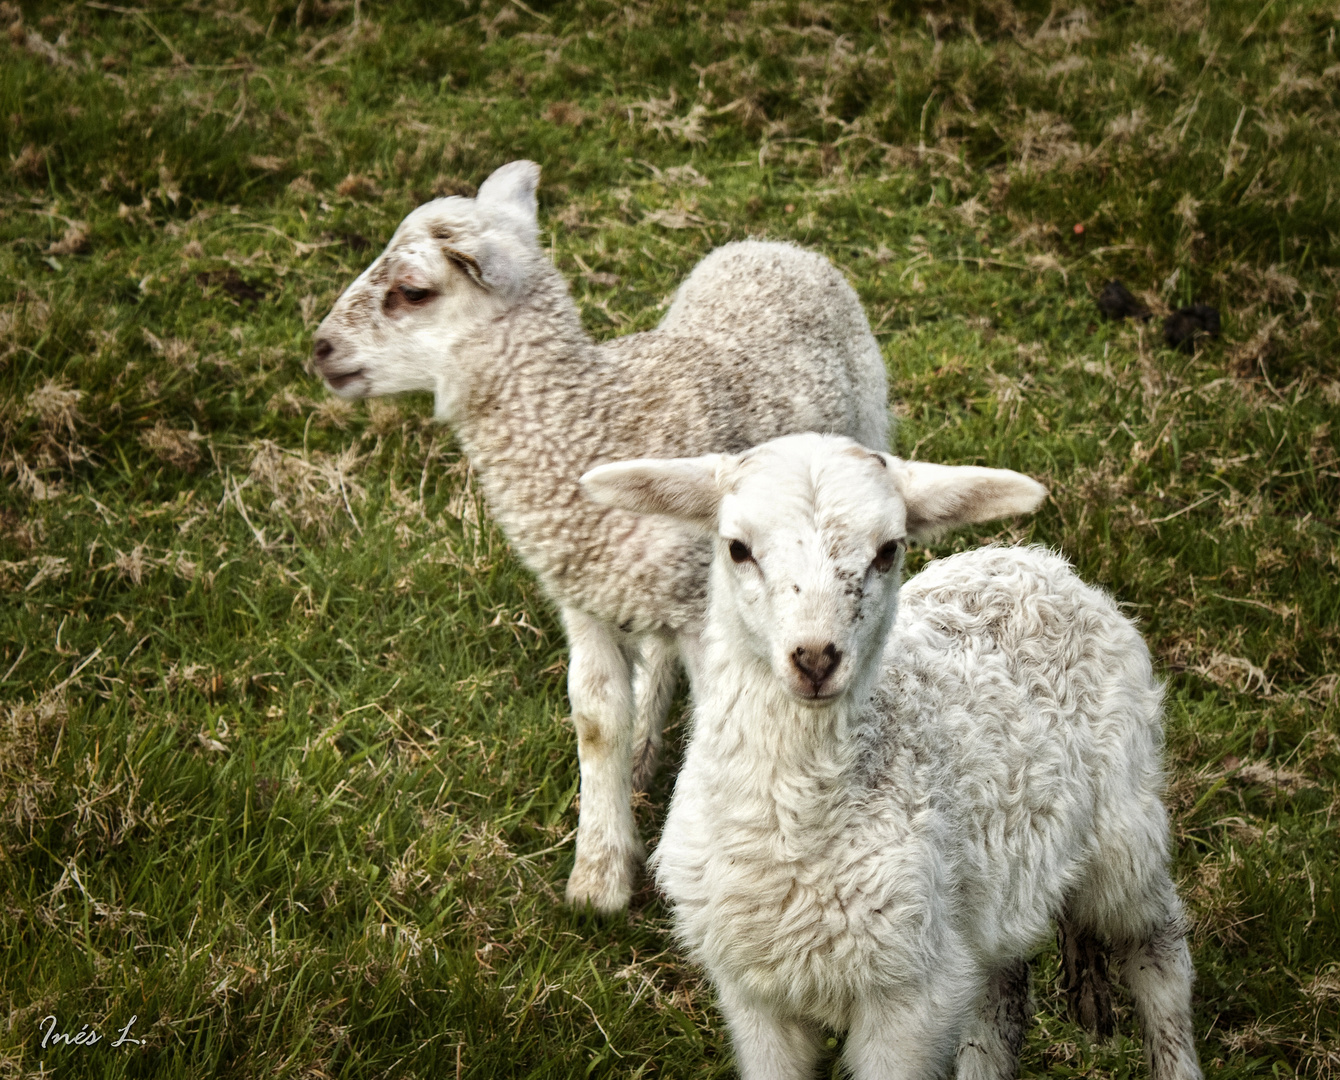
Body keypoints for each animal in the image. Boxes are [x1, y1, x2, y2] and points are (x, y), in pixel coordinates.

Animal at [312, 160, 889, 916]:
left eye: (412, 292)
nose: (319, 348)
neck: (590, 423)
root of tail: (778, 246)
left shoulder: (699, 610)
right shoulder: (584, 598)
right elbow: (595, 719)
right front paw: (600, 874)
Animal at [586, 434, 1206, 1080]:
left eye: (888, 550)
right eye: (737, 548)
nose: (815, 657)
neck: (795, 836)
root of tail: (1043, 563)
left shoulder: (909, 1000)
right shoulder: (754, 993)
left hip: (1123, 824)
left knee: (1157, 949)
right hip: (986, 898)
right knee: (1003, 993)